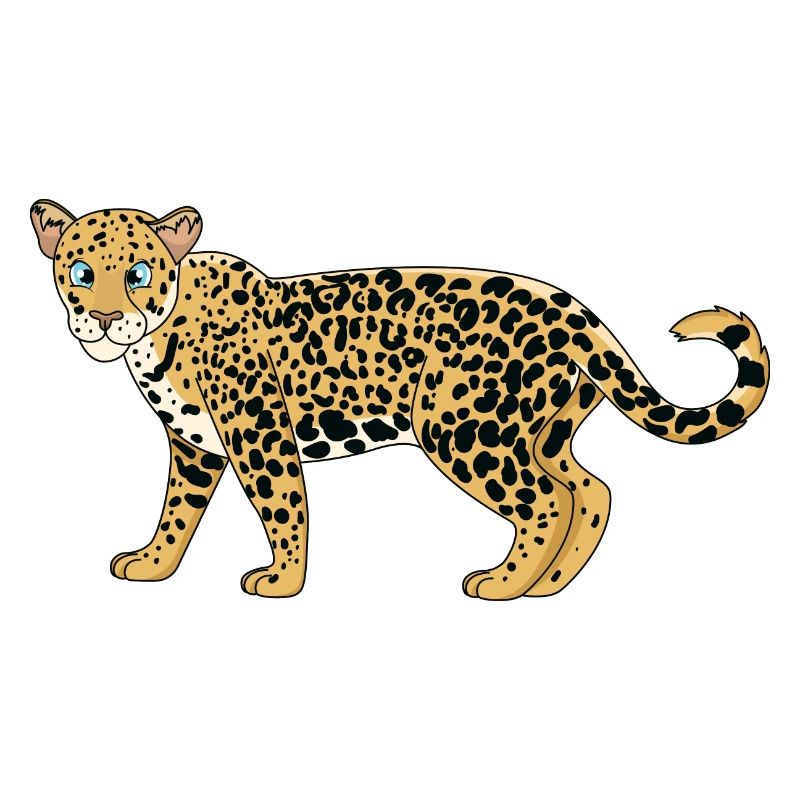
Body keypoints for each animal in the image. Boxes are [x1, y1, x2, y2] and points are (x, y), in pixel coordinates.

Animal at [30, 200, 770, 600]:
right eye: (79, 271)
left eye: (139, 273)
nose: (102, 320)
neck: (158, 336)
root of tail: (577, 314)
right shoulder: (195, 444)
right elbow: (175, 513)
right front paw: (151, 566)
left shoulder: (258, 434)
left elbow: (282, 507)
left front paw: (282, 581)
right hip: (541, 430)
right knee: (590, 490)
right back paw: (550, 585)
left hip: (464, 430)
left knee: (549, 501)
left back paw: (502, 584)